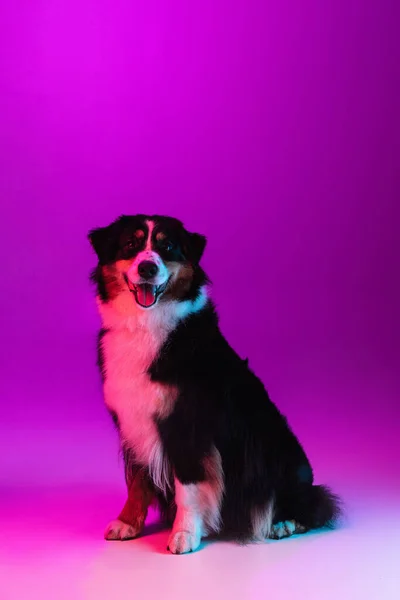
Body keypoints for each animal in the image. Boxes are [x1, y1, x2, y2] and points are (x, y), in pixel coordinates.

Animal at [88, 214, 340, 552]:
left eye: (168, 247)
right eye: (131, 243)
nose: (148, 268)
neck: (146, 325)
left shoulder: (188, 424)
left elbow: (189, 484)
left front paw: (184, 534)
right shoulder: (133, 421)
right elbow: (136, 481)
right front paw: (127, 523)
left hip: (278, 452)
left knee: (314, 504)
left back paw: (283, 523)